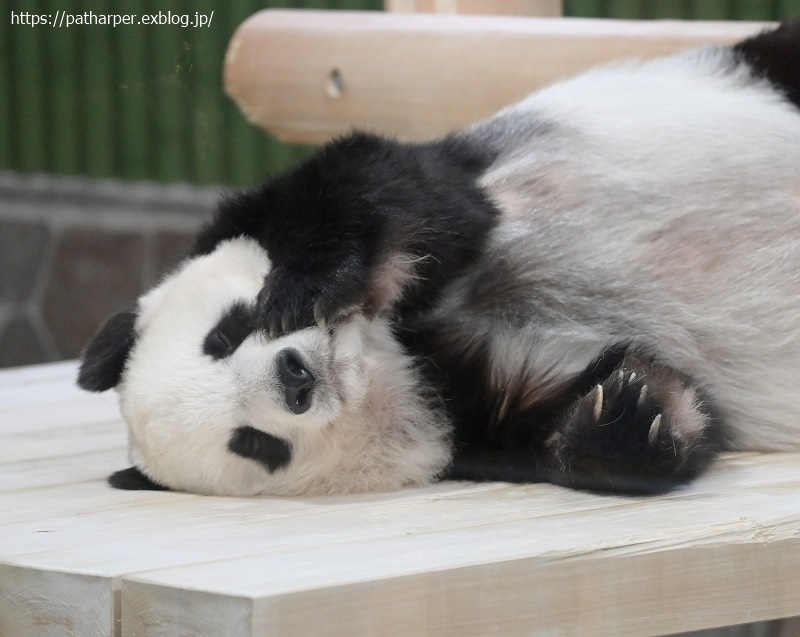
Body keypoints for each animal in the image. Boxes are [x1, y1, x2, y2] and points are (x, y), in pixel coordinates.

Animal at [79, 23, 800, 496]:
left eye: (224, 334)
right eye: (253, 444)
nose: (295, 377)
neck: (400, 344)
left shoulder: (450, 182)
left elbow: (378, 187)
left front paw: (305, 286)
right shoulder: (472, 414)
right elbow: (640, 424)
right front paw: (633, 410)